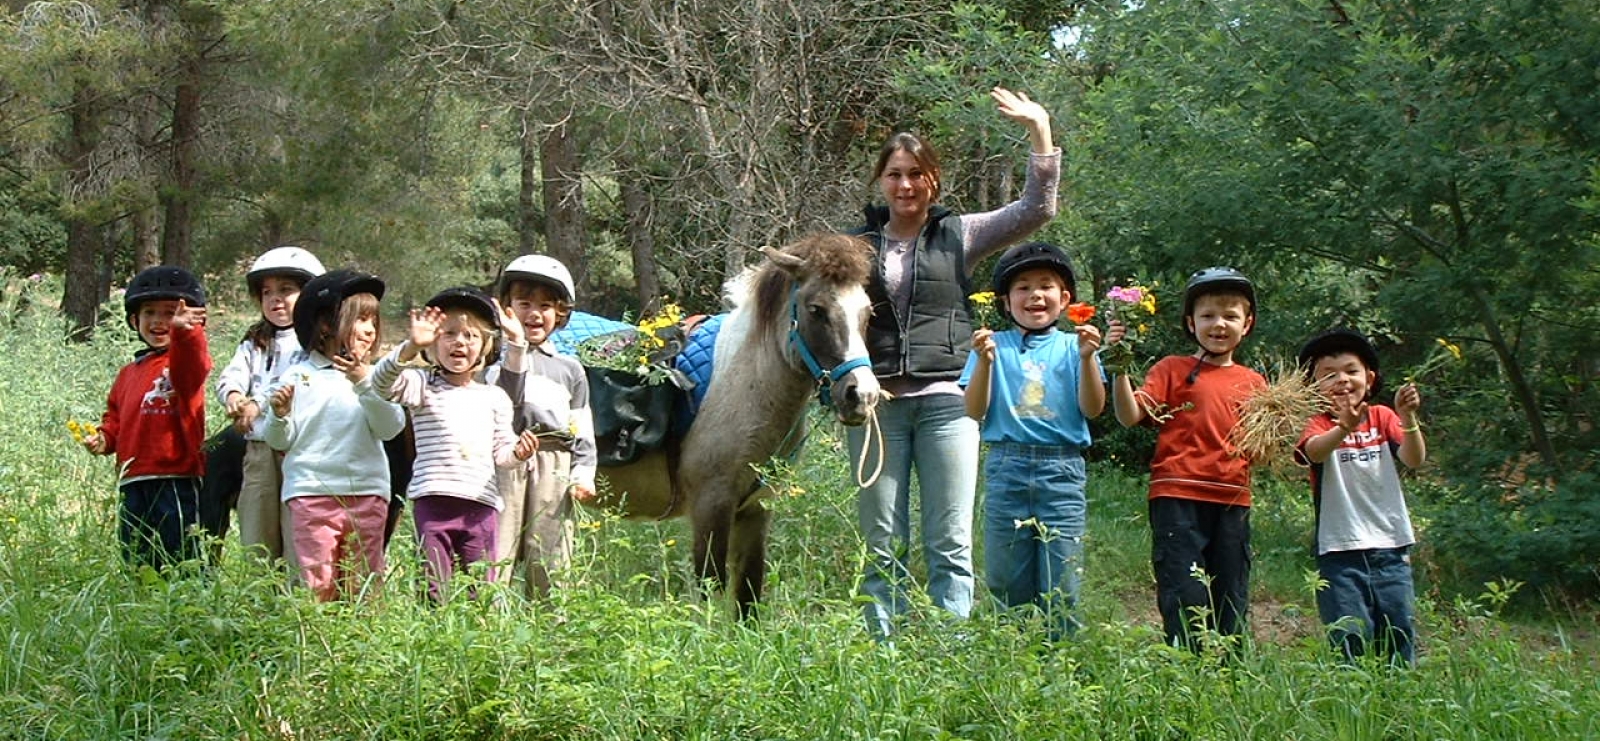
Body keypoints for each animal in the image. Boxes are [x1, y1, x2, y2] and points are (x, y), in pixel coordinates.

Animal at [595, 235, 883, 617]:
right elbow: (710, 590)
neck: (745, 383)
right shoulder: (711, 505)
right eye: (816, 310)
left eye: (867, 312)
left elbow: (748, 596)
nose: (861, 395)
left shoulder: (755, 510)